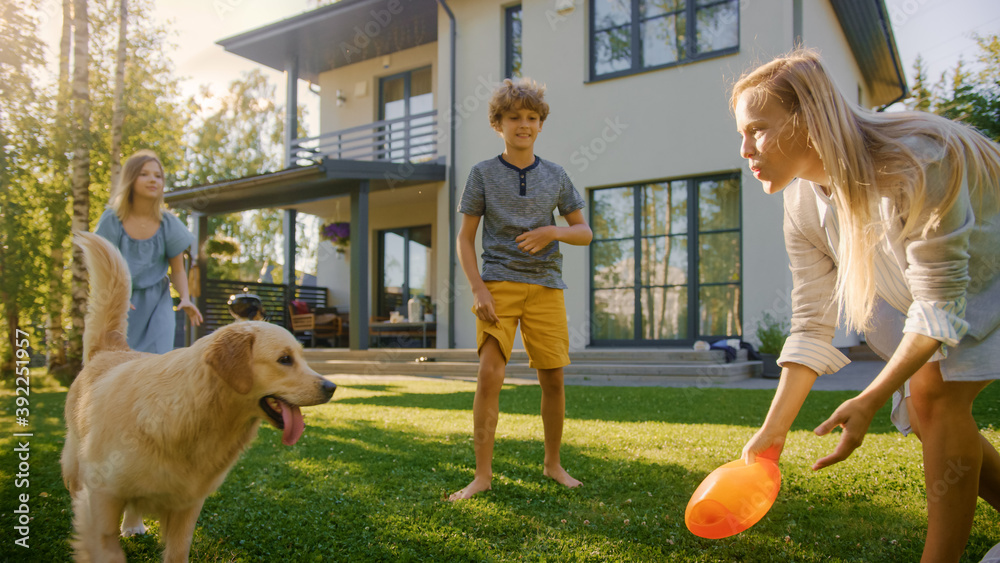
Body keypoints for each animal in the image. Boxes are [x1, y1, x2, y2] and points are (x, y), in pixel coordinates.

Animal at [63, 231, 336, 560]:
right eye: (285, 359)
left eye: (301, 357)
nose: (331, 387)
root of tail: (111, 349)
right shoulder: (101, 495)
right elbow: (106, 548)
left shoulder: (187, 505)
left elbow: (177, 552)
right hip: (74, 469)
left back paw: (132, 526)